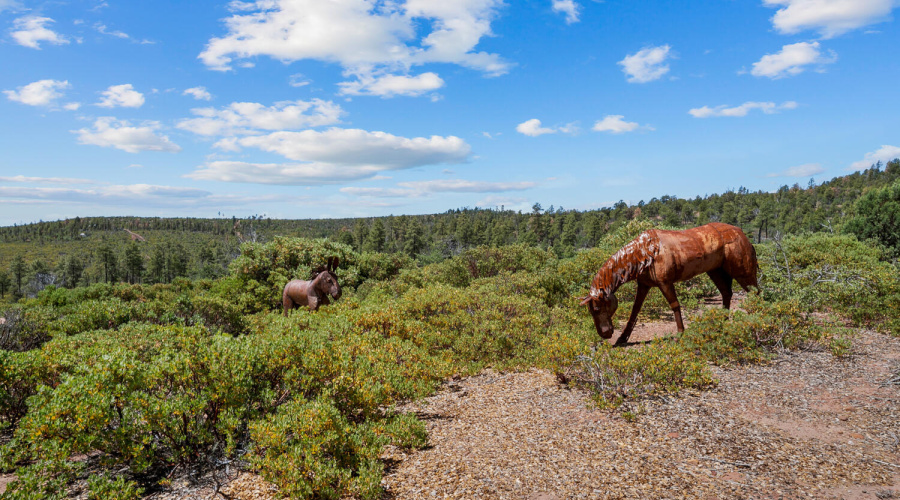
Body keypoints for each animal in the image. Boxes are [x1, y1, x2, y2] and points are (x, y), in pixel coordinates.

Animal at [580, 222, 759, 345]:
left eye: (597, 308)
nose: (605, 334)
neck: (644, 253)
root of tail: (743, 235)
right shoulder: (644, 285)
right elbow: (635, 310)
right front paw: (622, 338)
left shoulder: (665, 283)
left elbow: (675, 305)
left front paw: (680, 333)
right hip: (716, 271)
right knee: (726, 293)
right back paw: (722, 324)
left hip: (743, 272)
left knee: (756, 293)